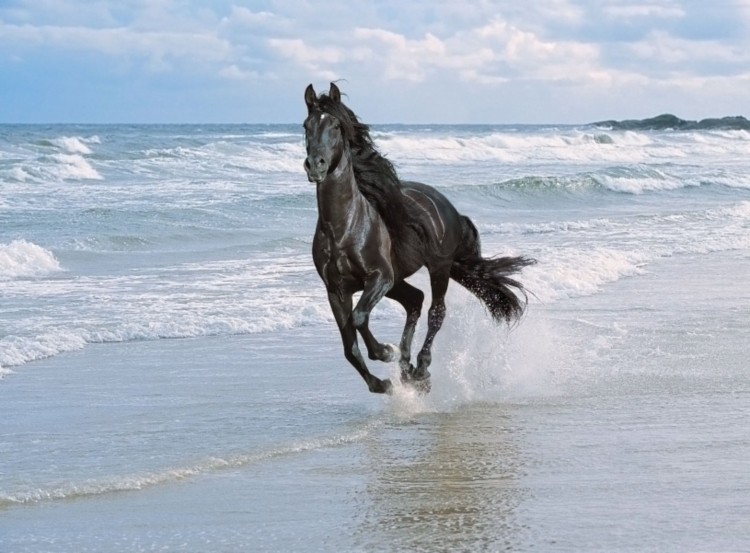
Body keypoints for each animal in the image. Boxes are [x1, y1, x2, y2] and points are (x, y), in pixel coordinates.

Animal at [303, 82, 534, 394]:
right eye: (306, 125)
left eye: (336, 126)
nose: (315, 165)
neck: (344, 228)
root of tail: (448, 206)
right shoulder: (336, 290)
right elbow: (349, 346)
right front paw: (382, 383)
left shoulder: (379, 277)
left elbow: (359, 318)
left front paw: (385, 352)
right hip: (399, 280)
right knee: (415, 300)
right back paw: (406, 368)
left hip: (438, 268)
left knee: (436, 312)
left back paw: (421, 369)